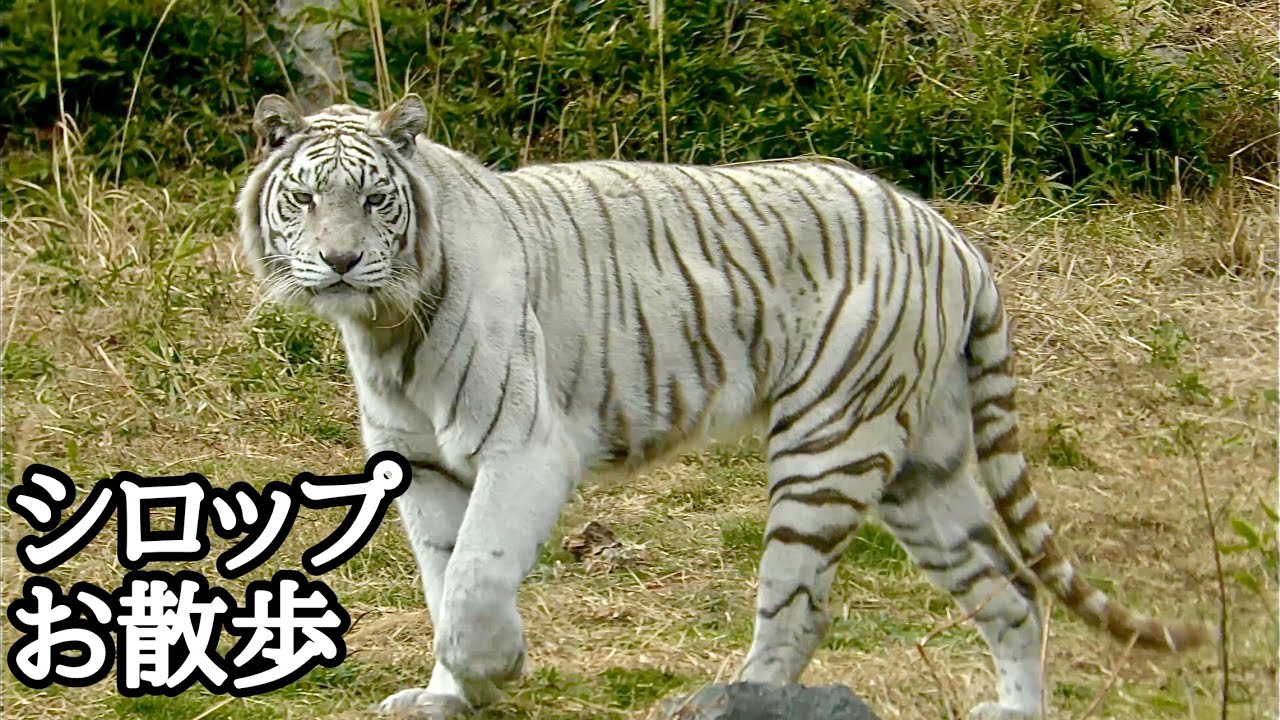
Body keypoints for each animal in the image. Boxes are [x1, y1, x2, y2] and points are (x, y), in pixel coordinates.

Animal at [236, 93, 1209, 720]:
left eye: (374, 199)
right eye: (304, 199)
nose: (340, 260)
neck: (386, 330)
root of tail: (950, 235)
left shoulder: (526, 446)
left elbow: (477, 577)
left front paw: (494, 669)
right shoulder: (425, 465)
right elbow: (445, 581)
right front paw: (448, 696)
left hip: (828, 444)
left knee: (800, 605)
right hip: (921, 469)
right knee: (1010, 591)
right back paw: (1012, 710)